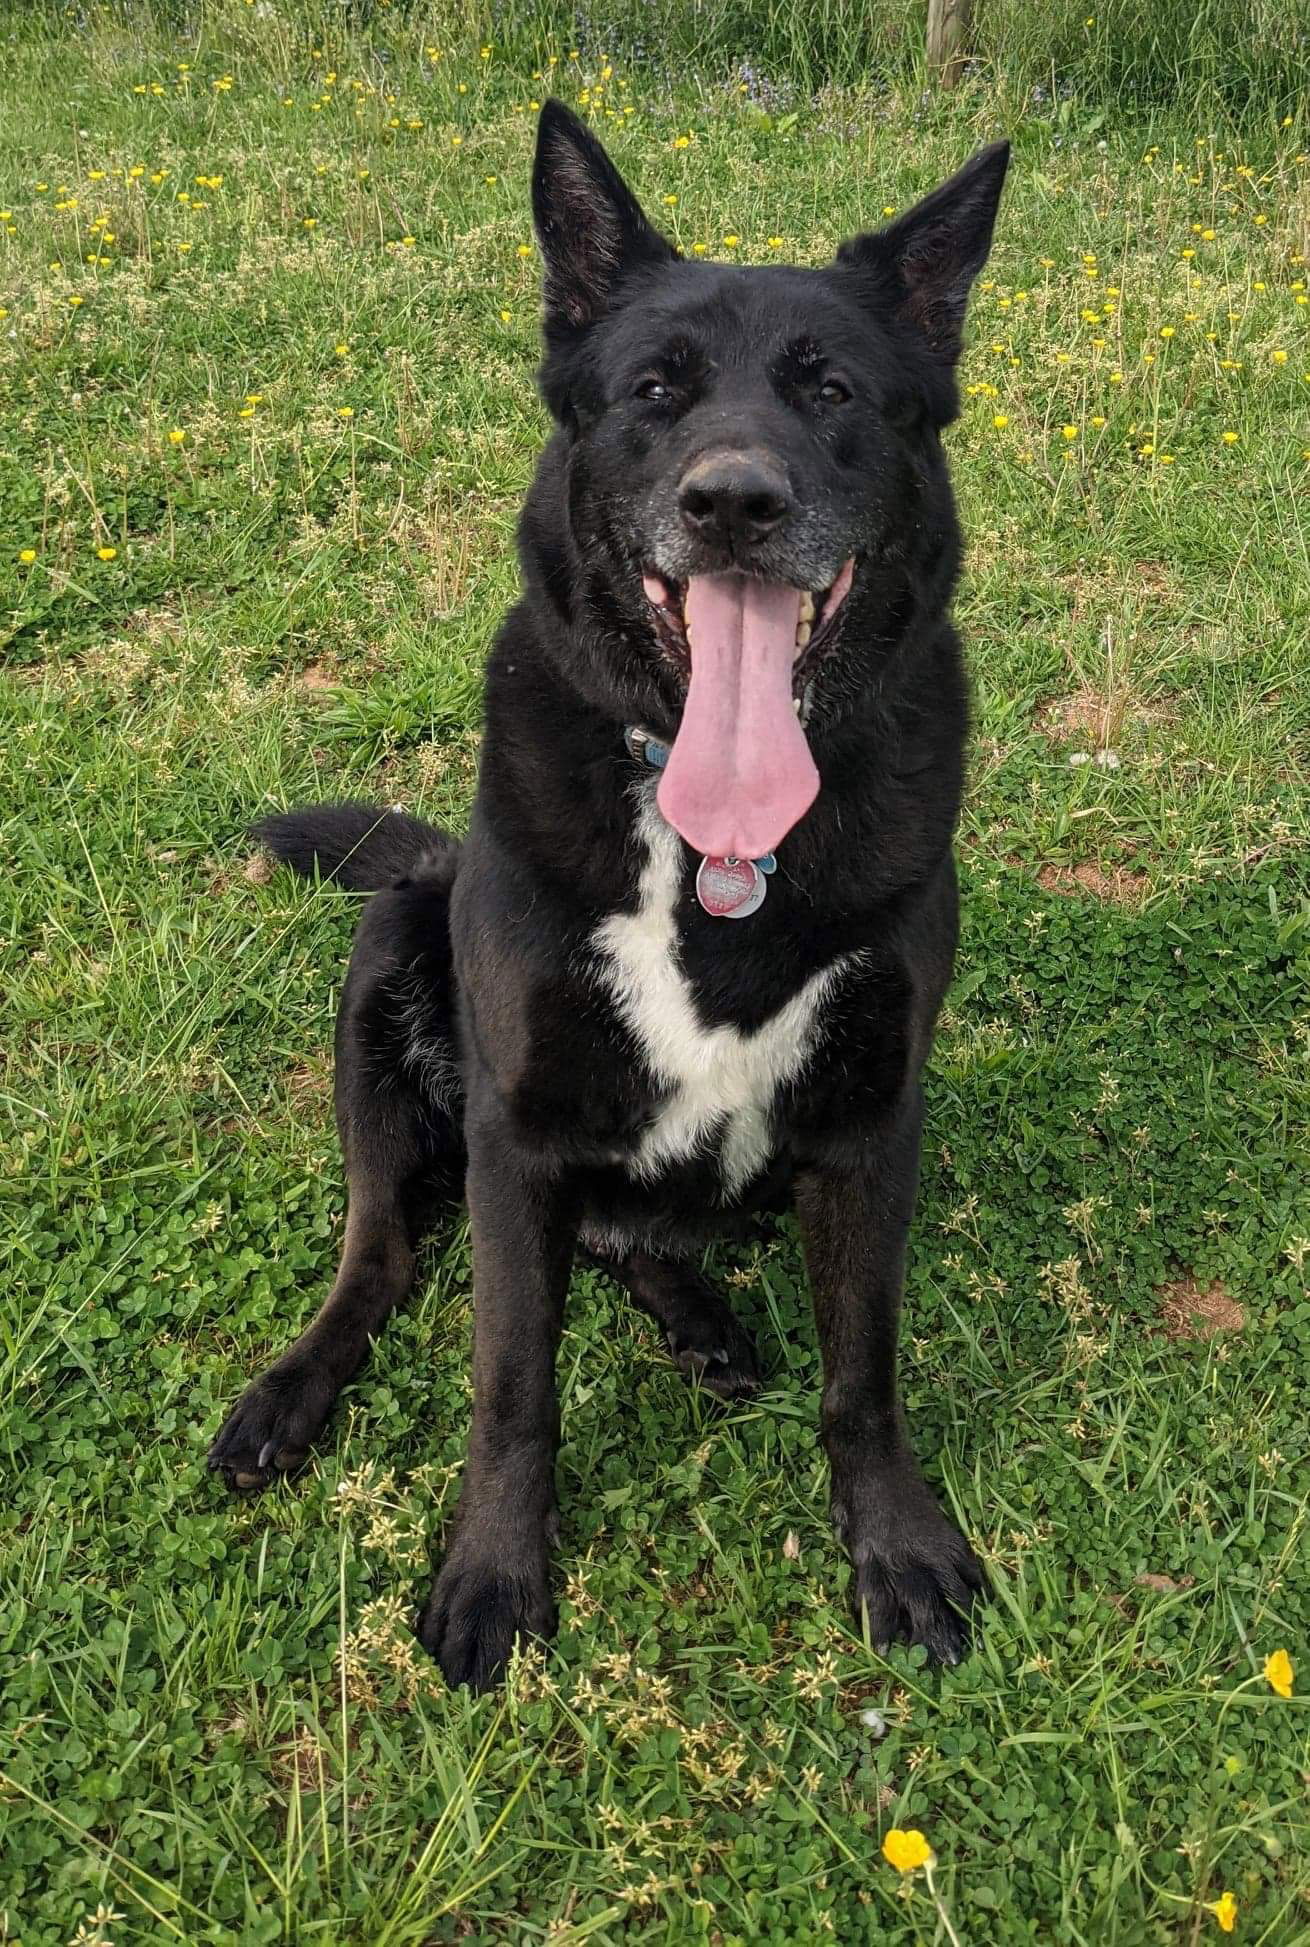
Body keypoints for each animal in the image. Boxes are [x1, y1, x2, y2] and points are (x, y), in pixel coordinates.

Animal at [212, 102, 1012, 1689]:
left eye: (832, 390)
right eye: (654, 391)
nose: (734, 502)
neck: (718, 846)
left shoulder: (870, 1121)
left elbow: (863, 1371)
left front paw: (895, 1544)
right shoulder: (518, 1133)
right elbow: (512, 1383)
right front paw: (492, 1573)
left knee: (625, 1234)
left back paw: (700, 1317)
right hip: (391, 963)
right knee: (382, 1248)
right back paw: (291, 1390)